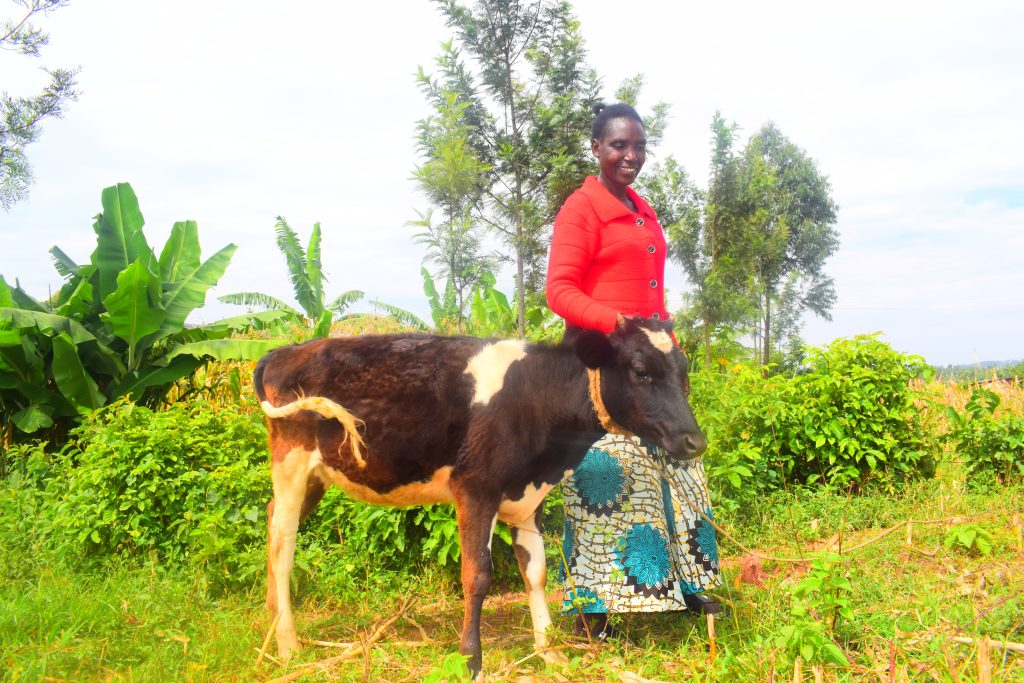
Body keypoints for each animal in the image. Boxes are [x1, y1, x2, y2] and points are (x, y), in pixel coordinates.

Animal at [253, 317, 704, 679]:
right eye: (640, 371)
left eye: (683, 370)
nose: (695, 441)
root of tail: (284, 349)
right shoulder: (475, 488)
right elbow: (476, 575)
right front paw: (470, 660)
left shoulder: (528, 498)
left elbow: (536, 572)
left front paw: (549, 650)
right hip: (292, 457)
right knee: (282, 542)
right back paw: (288, 644)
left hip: (315, 474)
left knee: (273, 521)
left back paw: (271, 620)